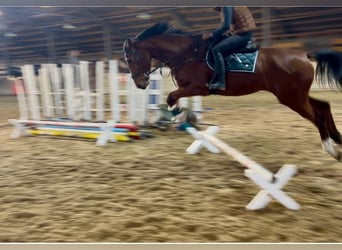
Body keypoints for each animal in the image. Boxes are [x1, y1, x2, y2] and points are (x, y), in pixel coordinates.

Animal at [124, 22, 342, 161]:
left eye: (132, 58)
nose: (141, 83)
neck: (185, 54)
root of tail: (304, 55)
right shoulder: (188, 88)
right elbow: (173, 98)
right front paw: (172, 115)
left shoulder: (198, 88)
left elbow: (171, 97)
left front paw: (173, 115)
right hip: (297, 95)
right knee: (324, 106)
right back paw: (337, 138)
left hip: (292, 98)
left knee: (317, 117)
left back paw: (331, 149)